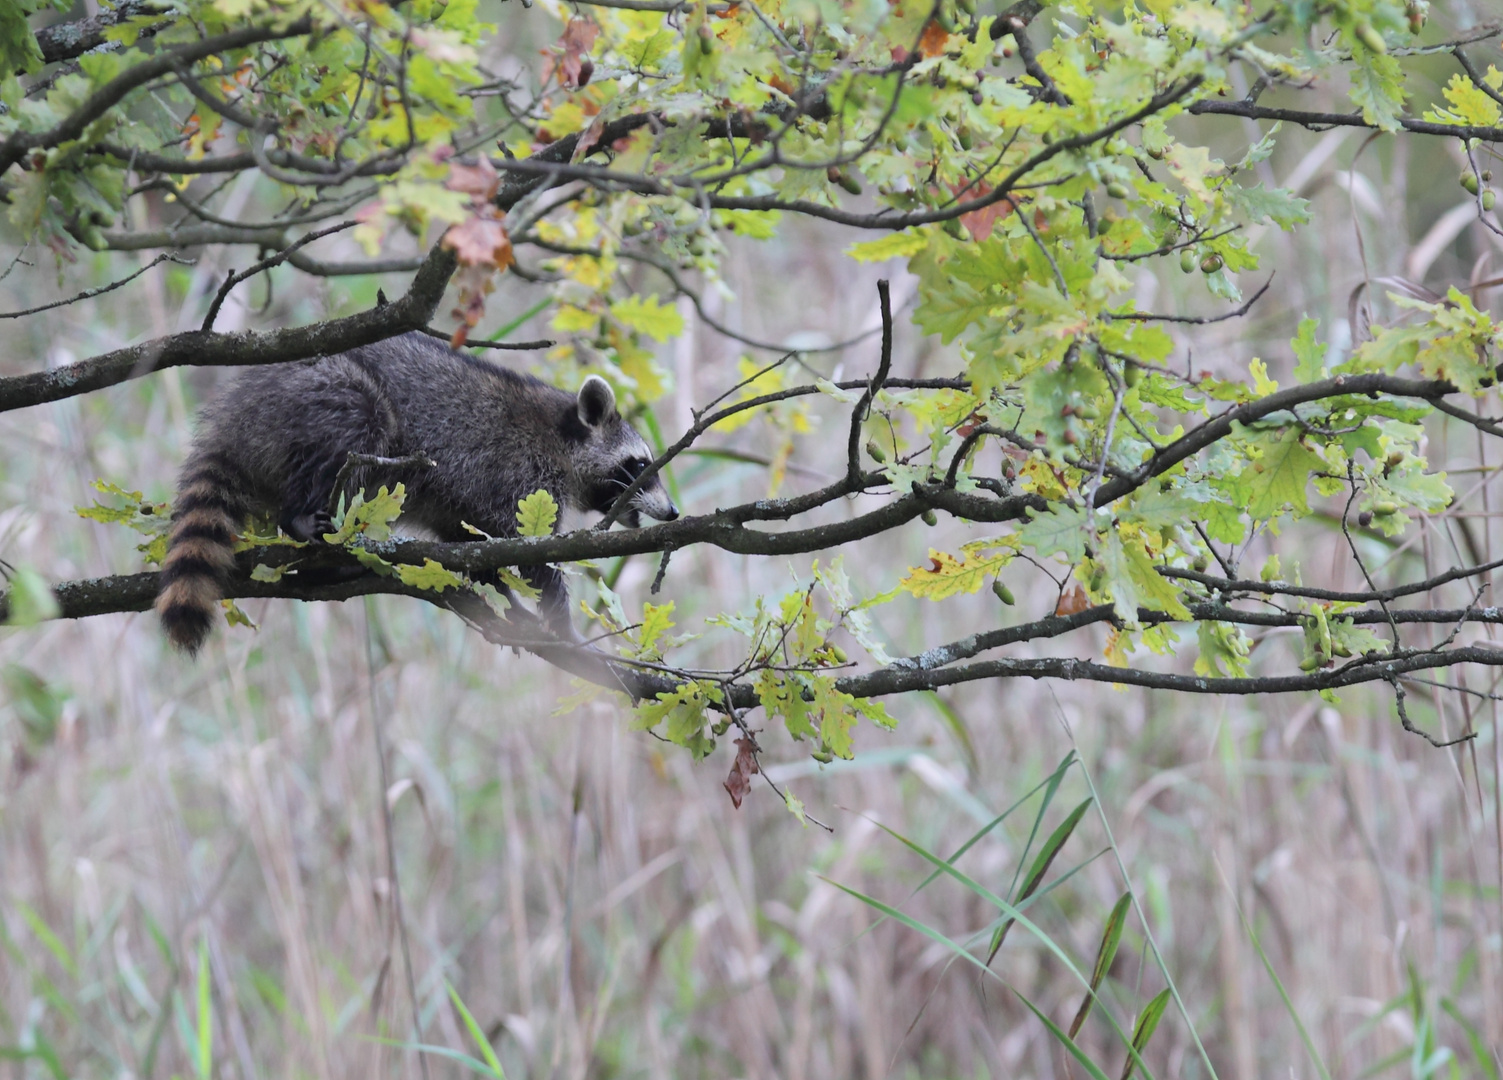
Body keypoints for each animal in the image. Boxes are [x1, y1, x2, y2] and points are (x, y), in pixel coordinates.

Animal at [158, 331, 682, 651]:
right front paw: (559, 618)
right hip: (321, 396)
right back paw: (303, 518)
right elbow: (525, 550)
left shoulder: (465, 503)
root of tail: (238, 416)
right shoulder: (517, 476)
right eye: (640, 466)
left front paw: (505, 599)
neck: (560, 433)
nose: (674, 512)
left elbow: (475, 547)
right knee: (359, 421)